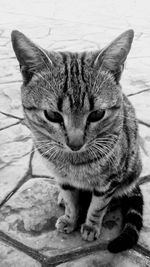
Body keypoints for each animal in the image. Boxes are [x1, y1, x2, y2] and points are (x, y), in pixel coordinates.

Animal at [11, 29, 143, 253]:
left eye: (97, 114)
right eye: (52, 115)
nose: (75, 144)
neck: (74, 163)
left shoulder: (109, 181)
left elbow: (98, 206)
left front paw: (91, 225)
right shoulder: (62, 178)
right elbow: (71, 200)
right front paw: (70, 217)